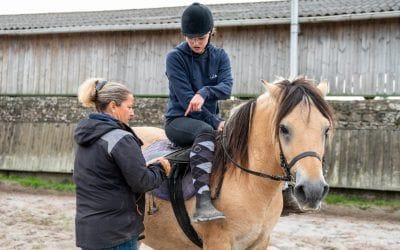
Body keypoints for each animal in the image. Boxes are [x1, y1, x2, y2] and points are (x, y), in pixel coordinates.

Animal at [134, 77, 334, 249]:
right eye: (284, 128)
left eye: (326, 129)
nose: (313, 190)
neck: (251, 184)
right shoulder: (218, 242)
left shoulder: (261, 242)